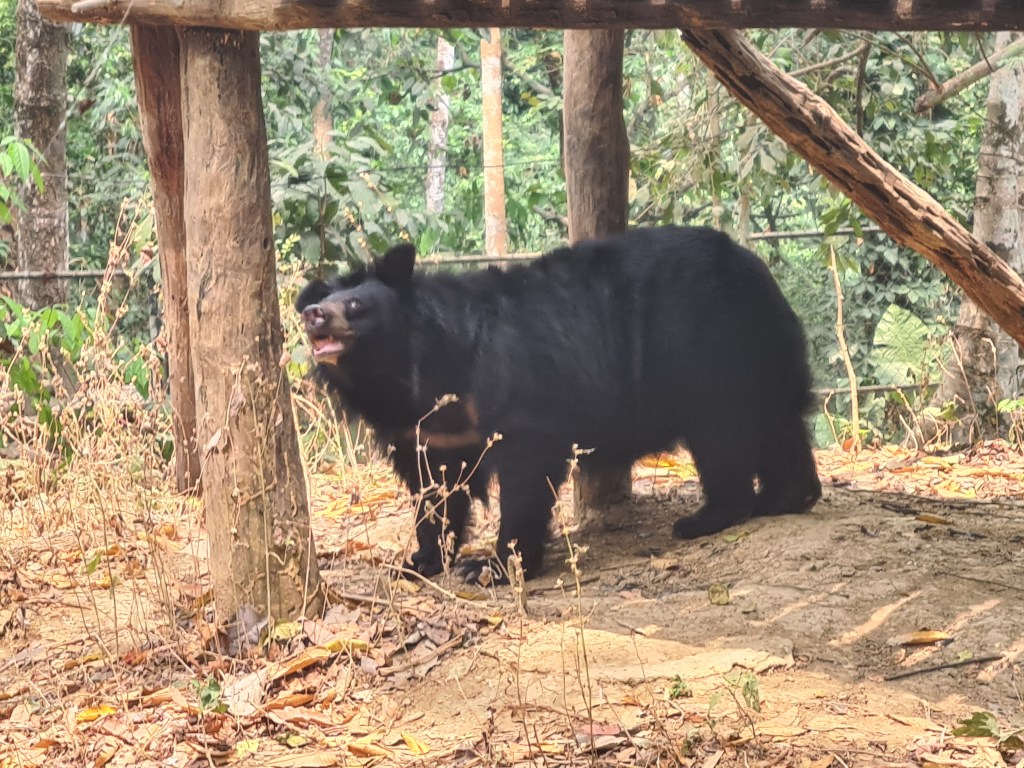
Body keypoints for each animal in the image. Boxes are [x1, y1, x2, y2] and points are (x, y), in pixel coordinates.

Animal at [296, 225, 821, 582]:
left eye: (357, 307)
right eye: (318, 307)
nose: (313, 314)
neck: (410, 371)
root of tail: (757, 270)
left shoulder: (517, 398)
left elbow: (525, 478)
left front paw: (492, 567)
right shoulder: (424, 430)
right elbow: (435, 492)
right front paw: (420, 562)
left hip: (711, 354)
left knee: (724, 438)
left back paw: (706, 519)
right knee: (778, 426)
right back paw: (784, 498)